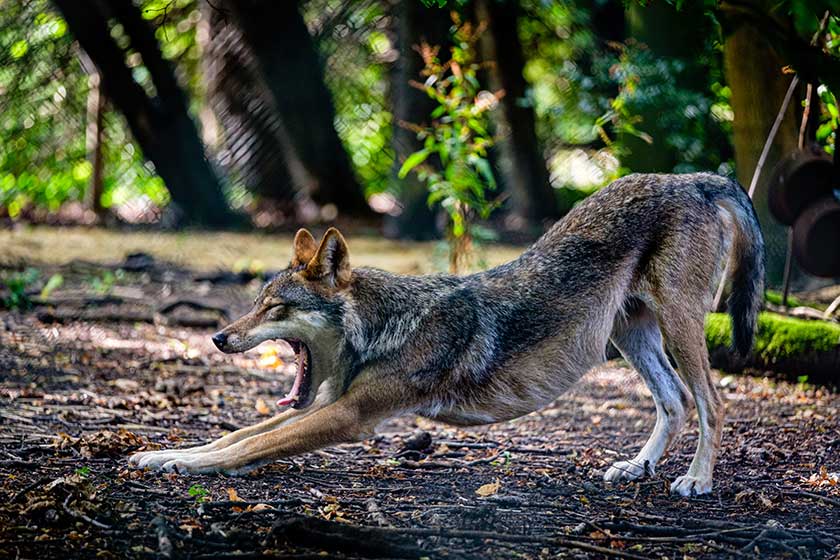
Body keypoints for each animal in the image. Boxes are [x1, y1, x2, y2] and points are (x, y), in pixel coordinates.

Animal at [130, 173, 760, 496]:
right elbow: (236, 437)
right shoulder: (326, 402)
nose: (218, 339)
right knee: (675, 402)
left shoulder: (350, 416)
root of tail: (696, 179)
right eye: (256, 305)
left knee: (713, 401)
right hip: (634, 337)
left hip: (680, 328)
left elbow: (251, 444)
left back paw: (696, 481)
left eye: (276, 307)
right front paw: (165, 456)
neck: (382, 326)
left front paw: (182, 465)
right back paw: (638, 468)